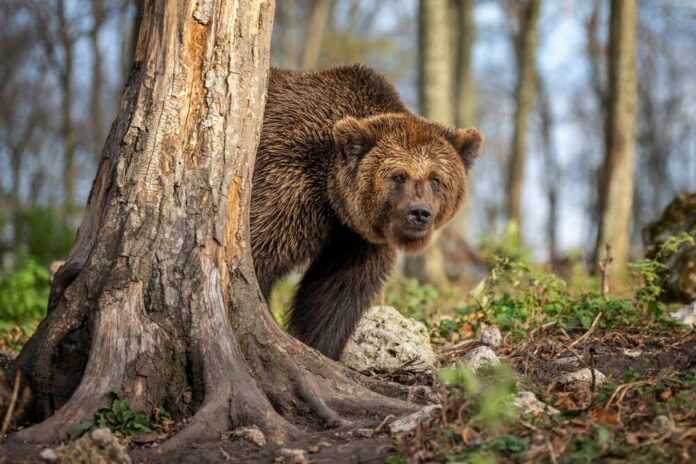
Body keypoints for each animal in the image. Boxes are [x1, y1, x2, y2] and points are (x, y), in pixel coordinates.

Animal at [251, 64, 483, 360]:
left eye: (436, 179)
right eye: (398, 175)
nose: (419, 213)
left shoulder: (358, 240)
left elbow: (336, 295)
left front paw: (318, 345)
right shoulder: (286, 187)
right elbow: (258, 251)